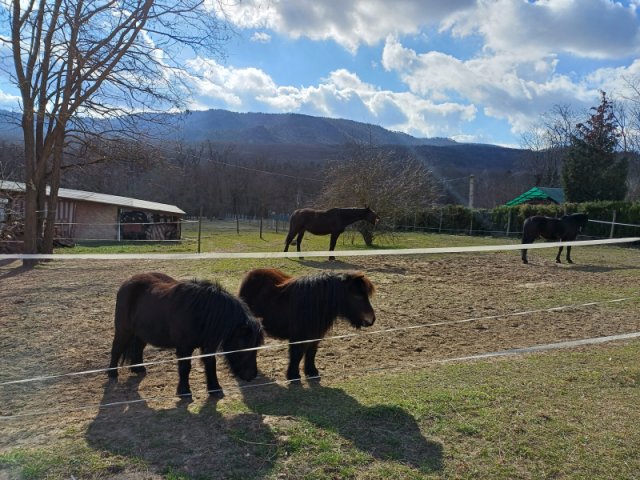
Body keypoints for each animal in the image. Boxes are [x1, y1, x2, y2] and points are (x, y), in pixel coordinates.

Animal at [109, 272, 264, 400]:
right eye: (243, 344)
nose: (251, 375)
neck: (199, 313)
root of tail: (127, 282)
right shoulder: (184, 347)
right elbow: (185, 368)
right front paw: (184, 391)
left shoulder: (208, 346)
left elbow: (210, 364)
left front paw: (215, 389)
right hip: (123, 330)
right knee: (116, 349)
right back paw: (112, 374)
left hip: (141, 333)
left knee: (138, 348)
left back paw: (138, 368)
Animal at [239, 268, 376, 380]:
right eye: (357, 295)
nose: (371, 320)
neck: (313, 305)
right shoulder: (298, 337)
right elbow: (297, 355)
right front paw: (293, 375)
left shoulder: (315, 335)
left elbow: (311, 353)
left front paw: (311, 372)